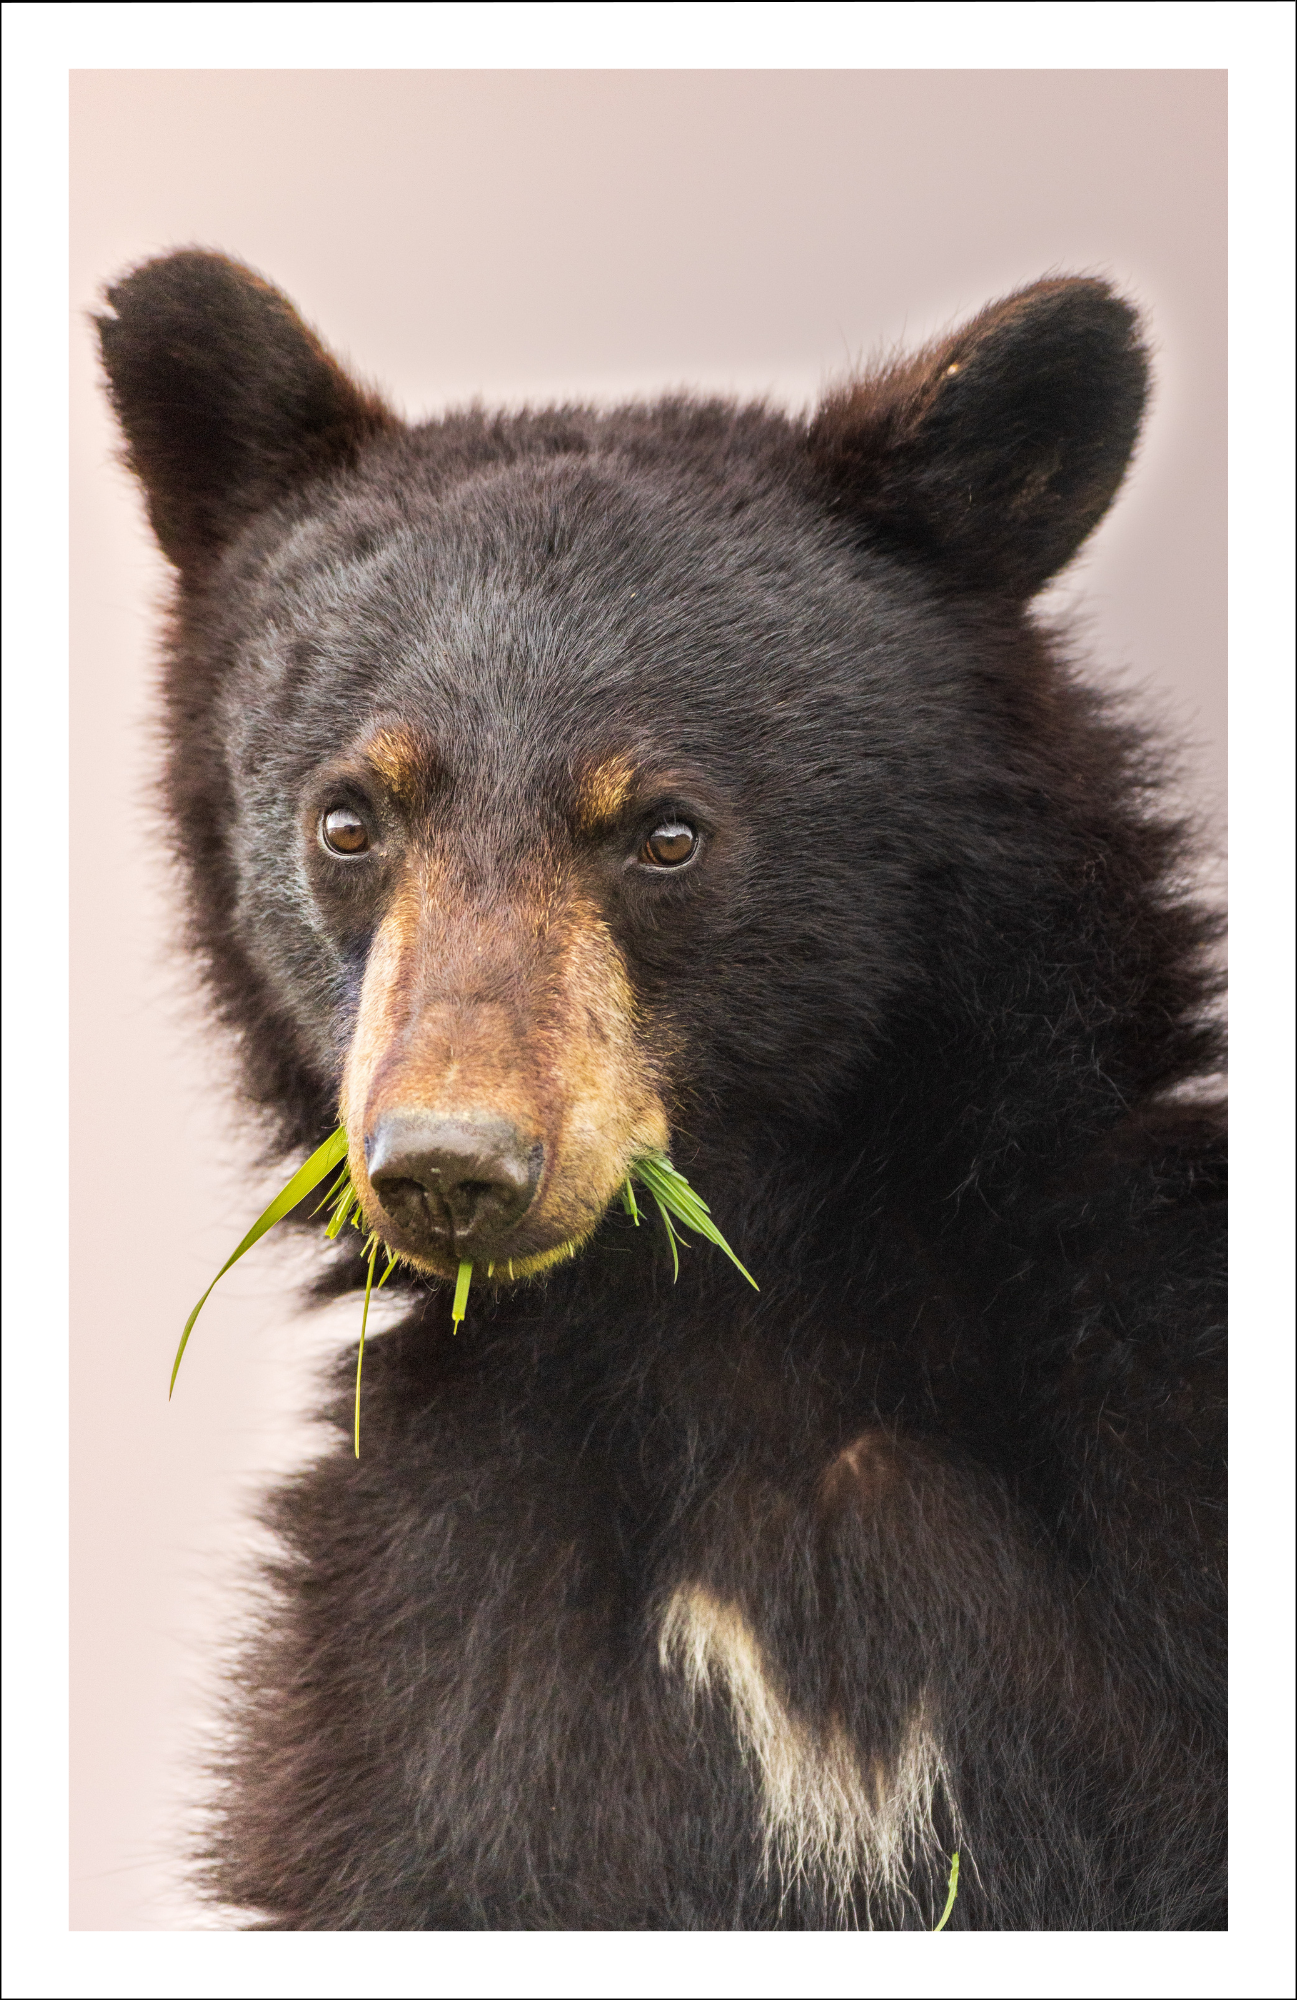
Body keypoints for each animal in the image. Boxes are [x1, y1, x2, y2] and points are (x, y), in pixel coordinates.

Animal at [96, 250, 1226, 1931]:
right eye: (349, 818)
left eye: (666, 833)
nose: (452, 1164)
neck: (745, 1331)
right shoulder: (440, 1653)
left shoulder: (1151, 1520)